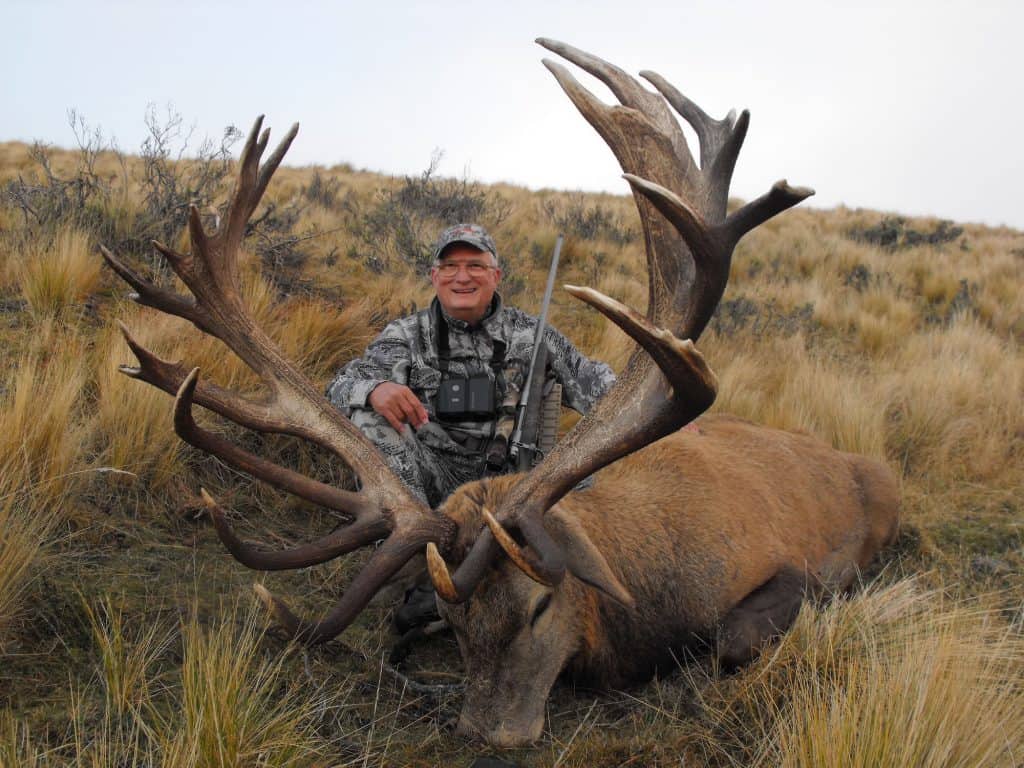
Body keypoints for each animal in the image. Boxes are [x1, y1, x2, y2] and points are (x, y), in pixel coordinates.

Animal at [101, 39, 900, 748]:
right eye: (457, 626)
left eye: (543, 604)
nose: (489, 732)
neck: (644, 592)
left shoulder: (787, 569)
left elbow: (736, 639)